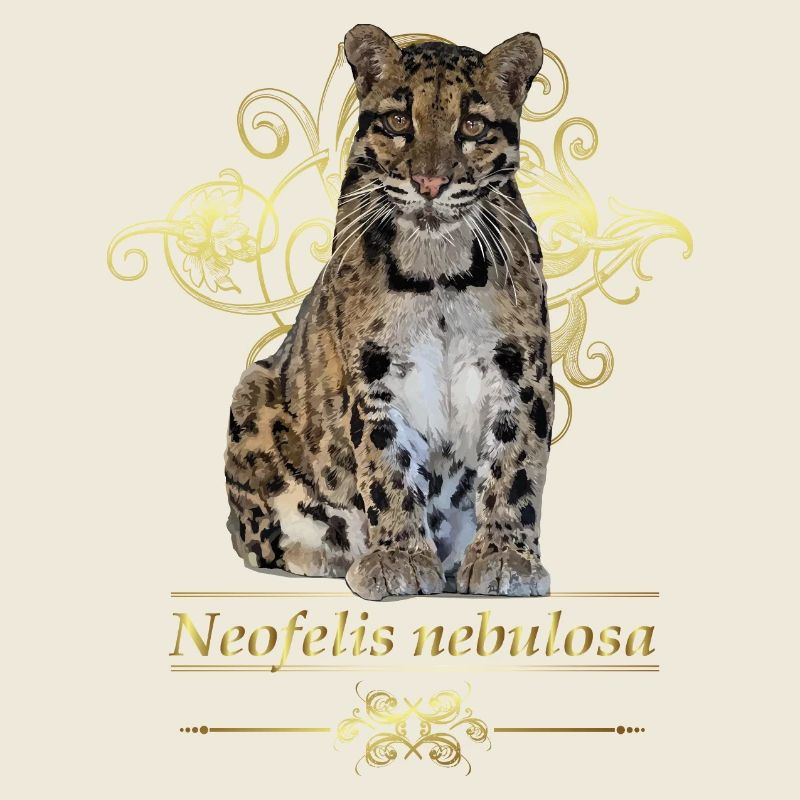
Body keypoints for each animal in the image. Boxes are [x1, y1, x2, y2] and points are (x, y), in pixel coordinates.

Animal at [224, 24, 554, 601]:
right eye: (400, 121)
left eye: (472, 125)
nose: (429, 184)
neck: (439, 270)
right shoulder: (374, 371)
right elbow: (386, 465)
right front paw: (398, 557)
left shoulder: (521, 369)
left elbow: (515, 463)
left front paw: (505, 557)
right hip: (252, 390)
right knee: (259, 538)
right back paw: (329, 554)